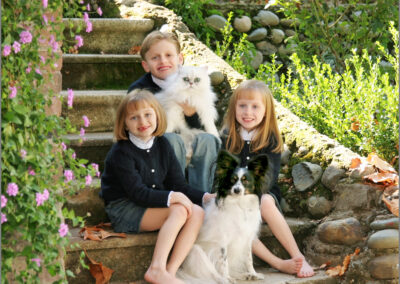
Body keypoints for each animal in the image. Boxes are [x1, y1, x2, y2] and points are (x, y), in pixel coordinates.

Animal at [179, 150, 270, 282]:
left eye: (246, 181)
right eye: (232, 180)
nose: (236, 190)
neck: (239, 204)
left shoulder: (247, 238)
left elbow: (249, 259)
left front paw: (253, 273)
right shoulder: (222, 240)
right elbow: (223, 261)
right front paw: (226, 277)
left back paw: (245, 275)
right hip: (196, 251)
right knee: (212, 273)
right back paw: (225, 279)